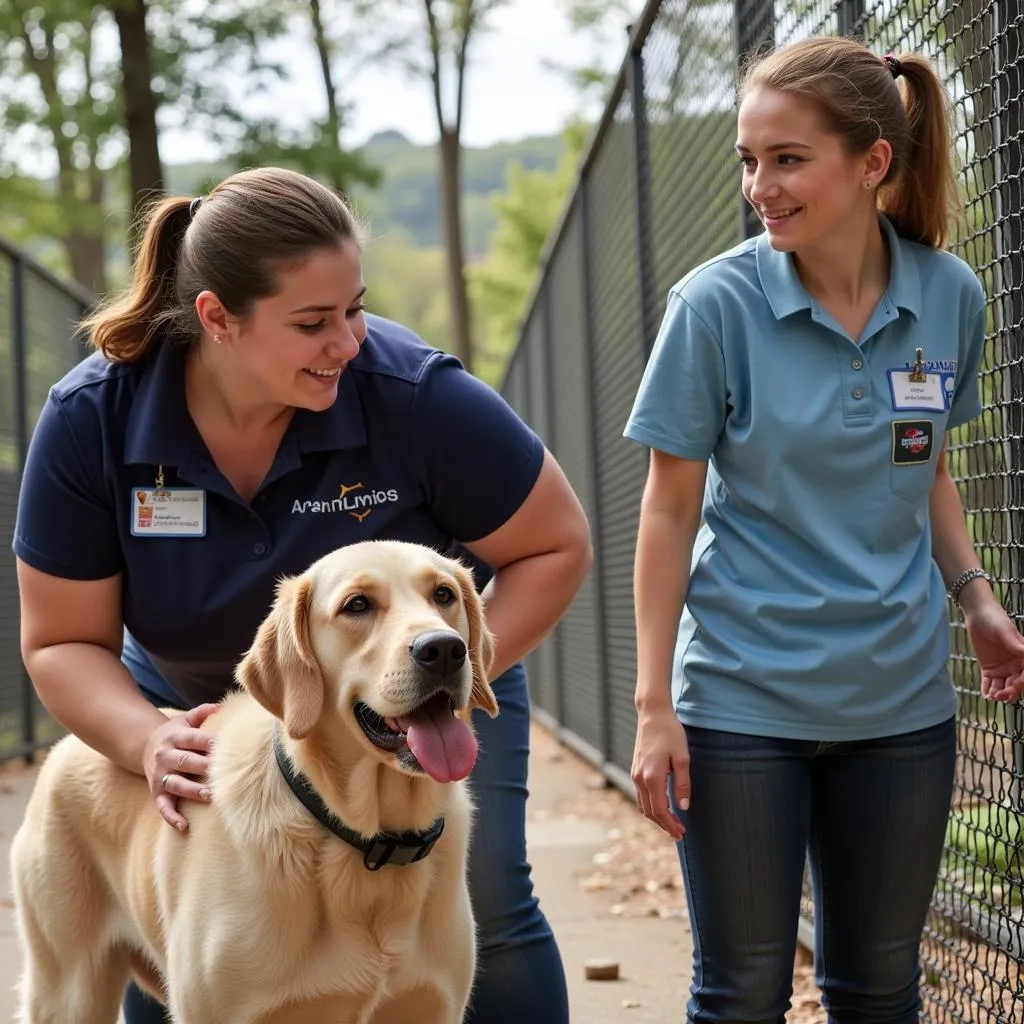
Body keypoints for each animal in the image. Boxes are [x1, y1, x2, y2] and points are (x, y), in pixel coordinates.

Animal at [9, 540, 497, 1019]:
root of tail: (62, 746)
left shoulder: (431, 1007)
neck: (365, 840)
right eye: (357, 605)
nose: (444, 650)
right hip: (69, 990)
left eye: (443, 595)